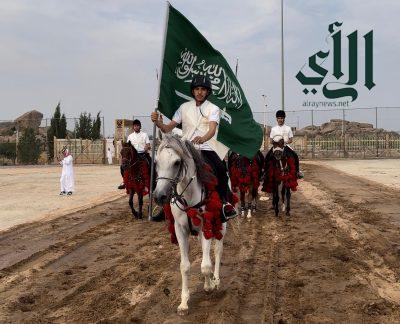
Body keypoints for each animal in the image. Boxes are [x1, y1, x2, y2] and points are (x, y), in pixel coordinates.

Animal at [153, 135, 227, 316]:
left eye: (177, 162)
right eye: (156, 162)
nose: (159, 196)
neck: (189, 196)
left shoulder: (206, 226)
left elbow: (206, 265)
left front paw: (210, 286)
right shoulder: (181, 231)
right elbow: (185, 266)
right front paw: (183, 303)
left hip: (222, 225)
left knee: (218, 250)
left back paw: (216, 281)